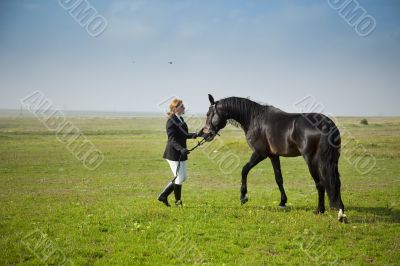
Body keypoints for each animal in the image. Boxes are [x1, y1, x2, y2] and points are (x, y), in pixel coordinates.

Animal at [200, 94, 346, 222]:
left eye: (208, 114)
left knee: (320, 183)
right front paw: (282, 202)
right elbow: (279, 179)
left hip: (311, 160)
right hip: (333, 160)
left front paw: (243, 196)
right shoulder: (273, 156)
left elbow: (244, 170)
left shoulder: (260, 154)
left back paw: (320, 210)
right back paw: (340, 210)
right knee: (336, 182)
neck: (255, 119)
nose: (206, 134)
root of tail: (325, 123)